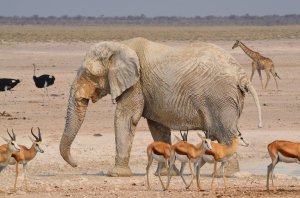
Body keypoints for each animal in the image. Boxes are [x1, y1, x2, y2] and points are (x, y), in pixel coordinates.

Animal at [59, 36, 262, 176]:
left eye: (88, 74)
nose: (76, 164)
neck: (120, 45)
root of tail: (242, 75)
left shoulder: (136, 84)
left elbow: (126, 119)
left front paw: (115, 174)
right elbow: (157, 127)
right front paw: (164, 174)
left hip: (221, 98)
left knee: (225, 133)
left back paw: (226, 174)